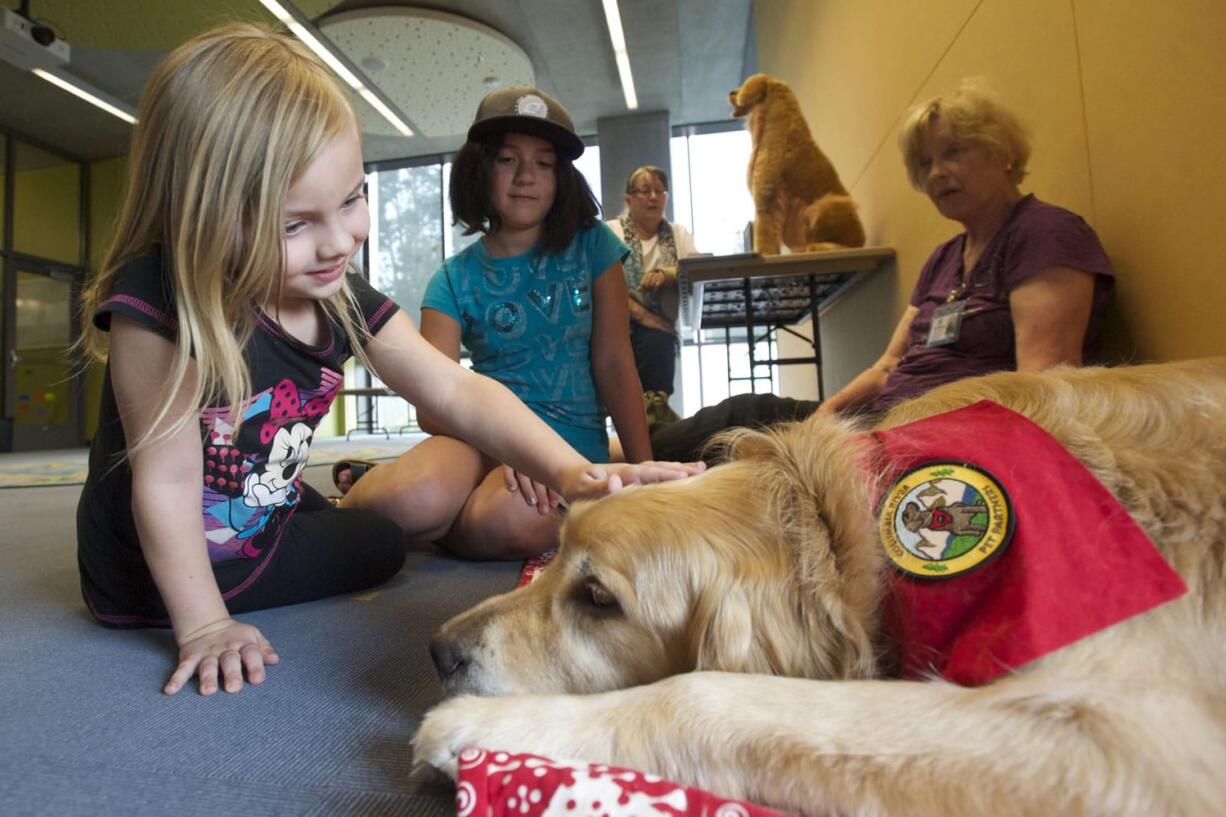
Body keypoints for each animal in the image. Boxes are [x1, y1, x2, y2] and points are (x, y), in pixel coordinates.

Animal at [414, 360, 1226, 814]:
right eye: (553, 553)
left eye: (598, 599)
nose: (439, 651)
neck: (841, 528)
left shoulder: (1123, 746)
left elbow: (703, 696)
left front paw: (484, 730)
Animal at [725, 74, 863, 256]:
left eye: (744, 85)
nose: (731, 93)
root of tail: (862, 238)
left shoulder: (765, 196)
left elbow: (764, 232)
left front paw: (765, 252)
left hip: (827, 204)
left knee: (847, 246)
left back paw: (817, 247)